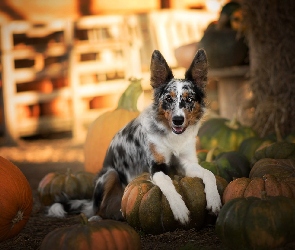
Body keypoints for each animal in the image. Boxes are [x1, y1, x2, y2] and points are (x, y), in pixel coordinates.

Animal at [49, 49, 223, 225]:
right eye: (168, 98)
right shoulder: (156, 167)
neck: (172, 138)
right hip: (109, 175)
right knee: (97, 209)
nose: (178, 120)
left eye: (189, 99)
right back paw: (95, 218)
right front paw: (180, 209)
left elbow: (209, 173)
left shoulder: (187, 163)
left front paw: (214, 200)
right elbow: (168, 184)